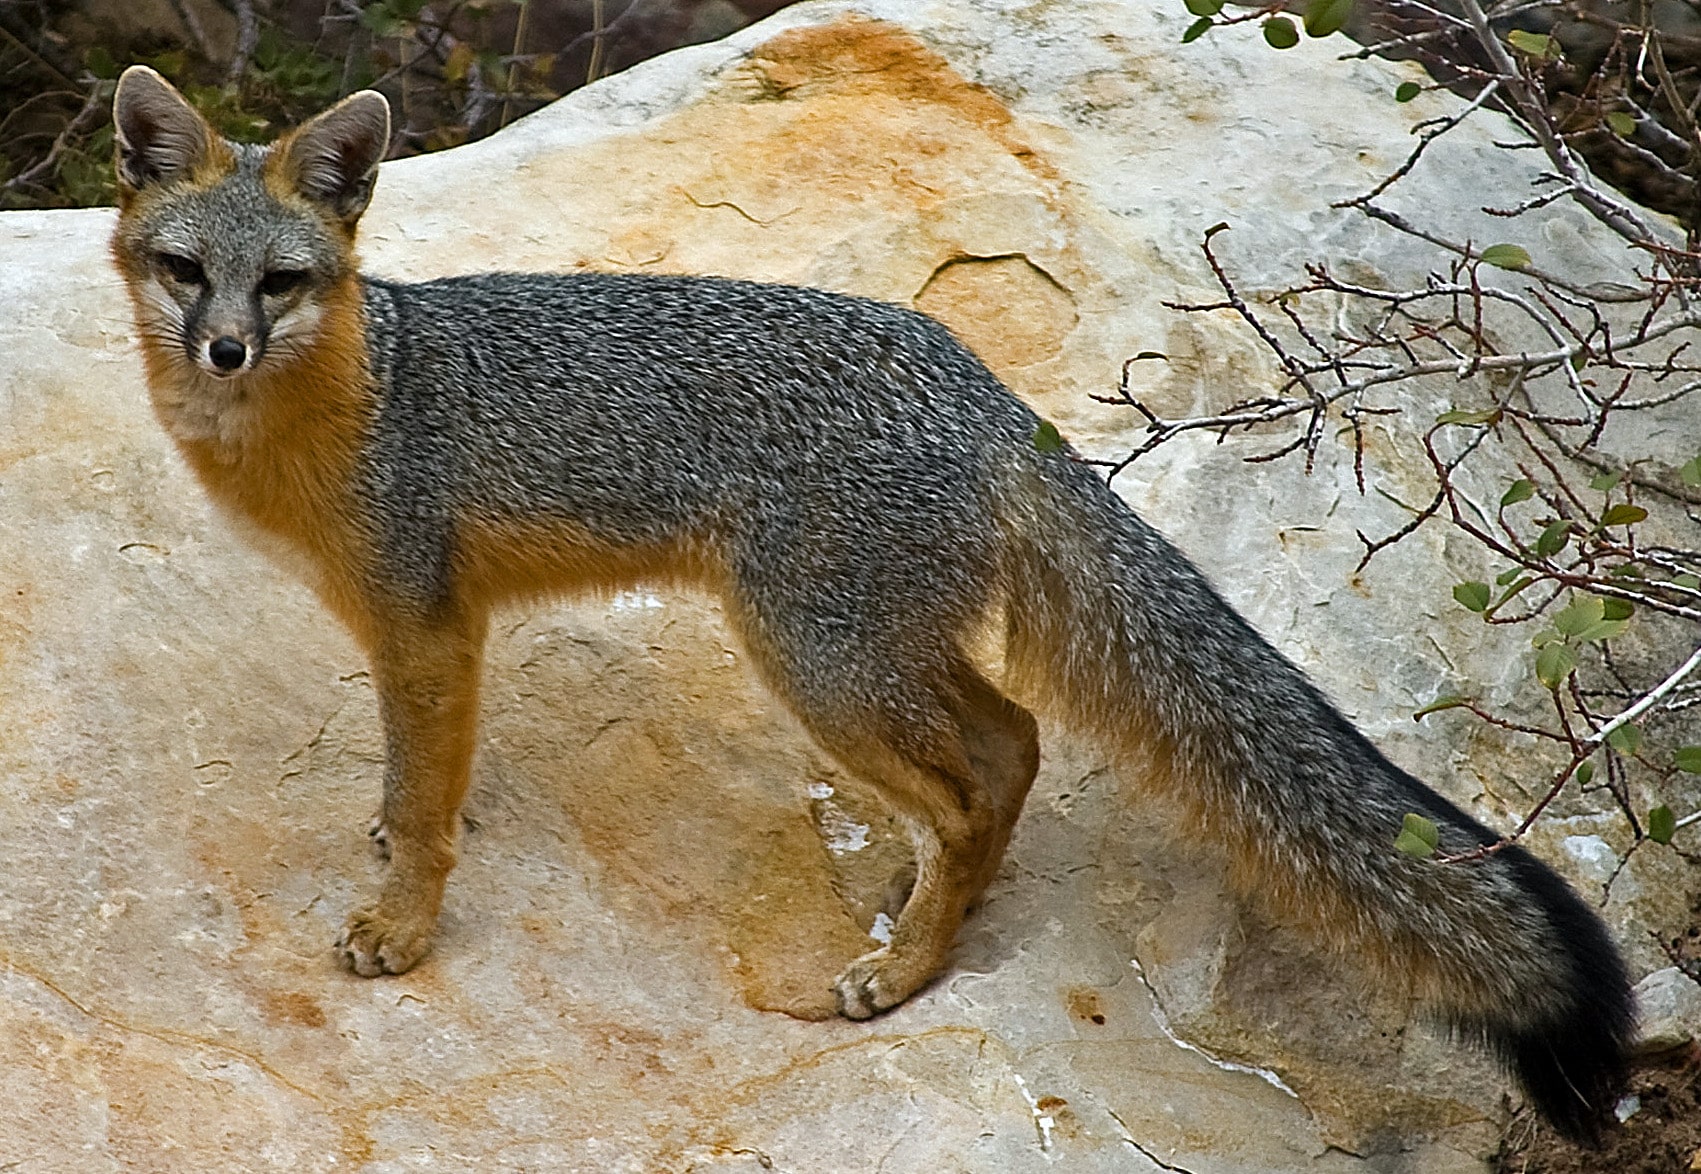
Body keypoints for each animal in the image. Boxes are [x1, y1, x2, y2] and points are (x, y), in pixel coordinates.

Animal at [108, 64, 1634, 1140]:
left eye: (282, 282)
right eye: (187, 271)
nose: (224, 346)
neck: (347, 403)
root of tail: (985, 387)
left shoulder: (429, 625)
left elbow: (427, 801)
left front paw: (402, 924)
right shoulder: (413, 637)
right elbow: (404, 777)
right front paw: (383, 842)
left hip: (815, 656)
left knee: (980, 774)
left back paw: (904, 972)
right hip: (872, 649)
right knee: (1011, 743)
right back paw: (916, 921)